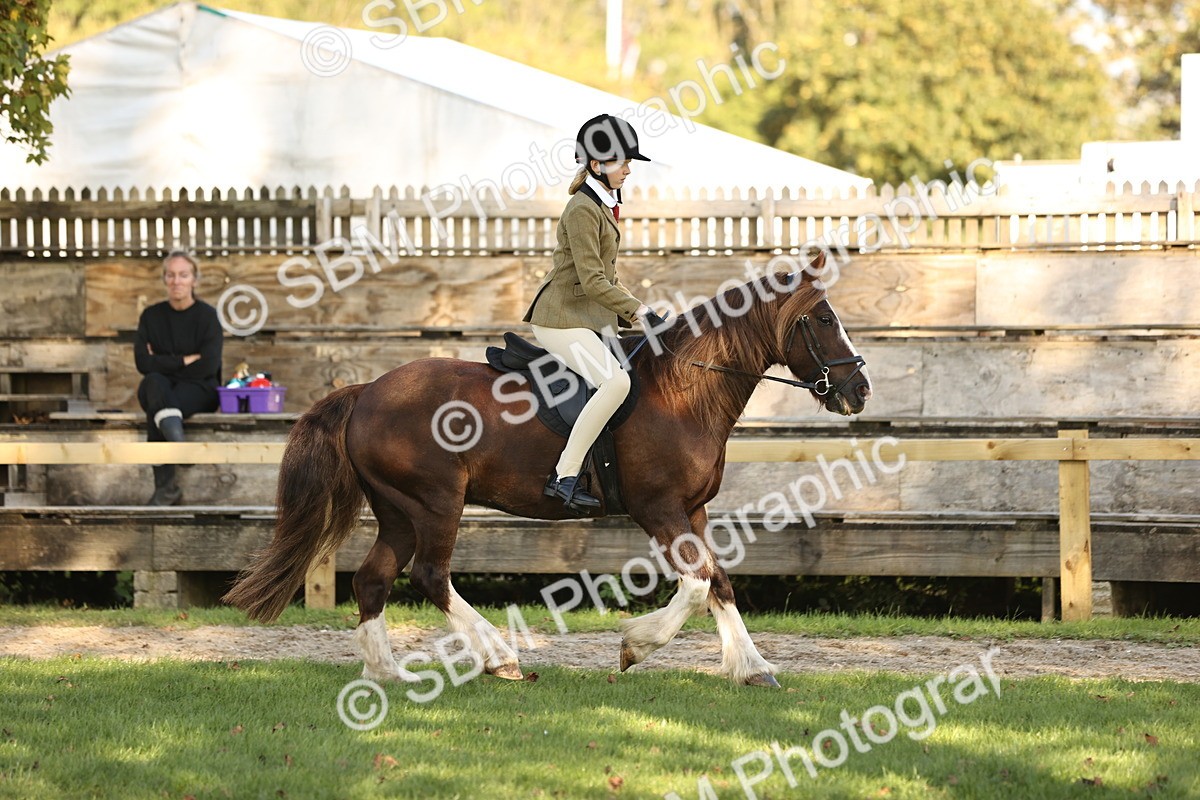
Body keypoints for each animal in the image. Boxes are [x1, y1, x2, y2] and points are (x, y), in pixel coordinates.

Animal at [224, 256, 872, 687]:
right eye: (821, 320)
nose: (860, 389)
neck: (684, 391)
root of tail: (365, 392)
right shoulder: (658, 509)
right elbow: (696, 582)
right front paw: (635, 647)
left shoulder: (694, 509)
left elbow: (720, 581)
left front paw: (753, 667)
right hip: (435, 503)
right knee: (431, 576)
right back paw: (497, 657)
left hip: (400, 510)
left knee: (373, 580)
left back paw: (386, 674)